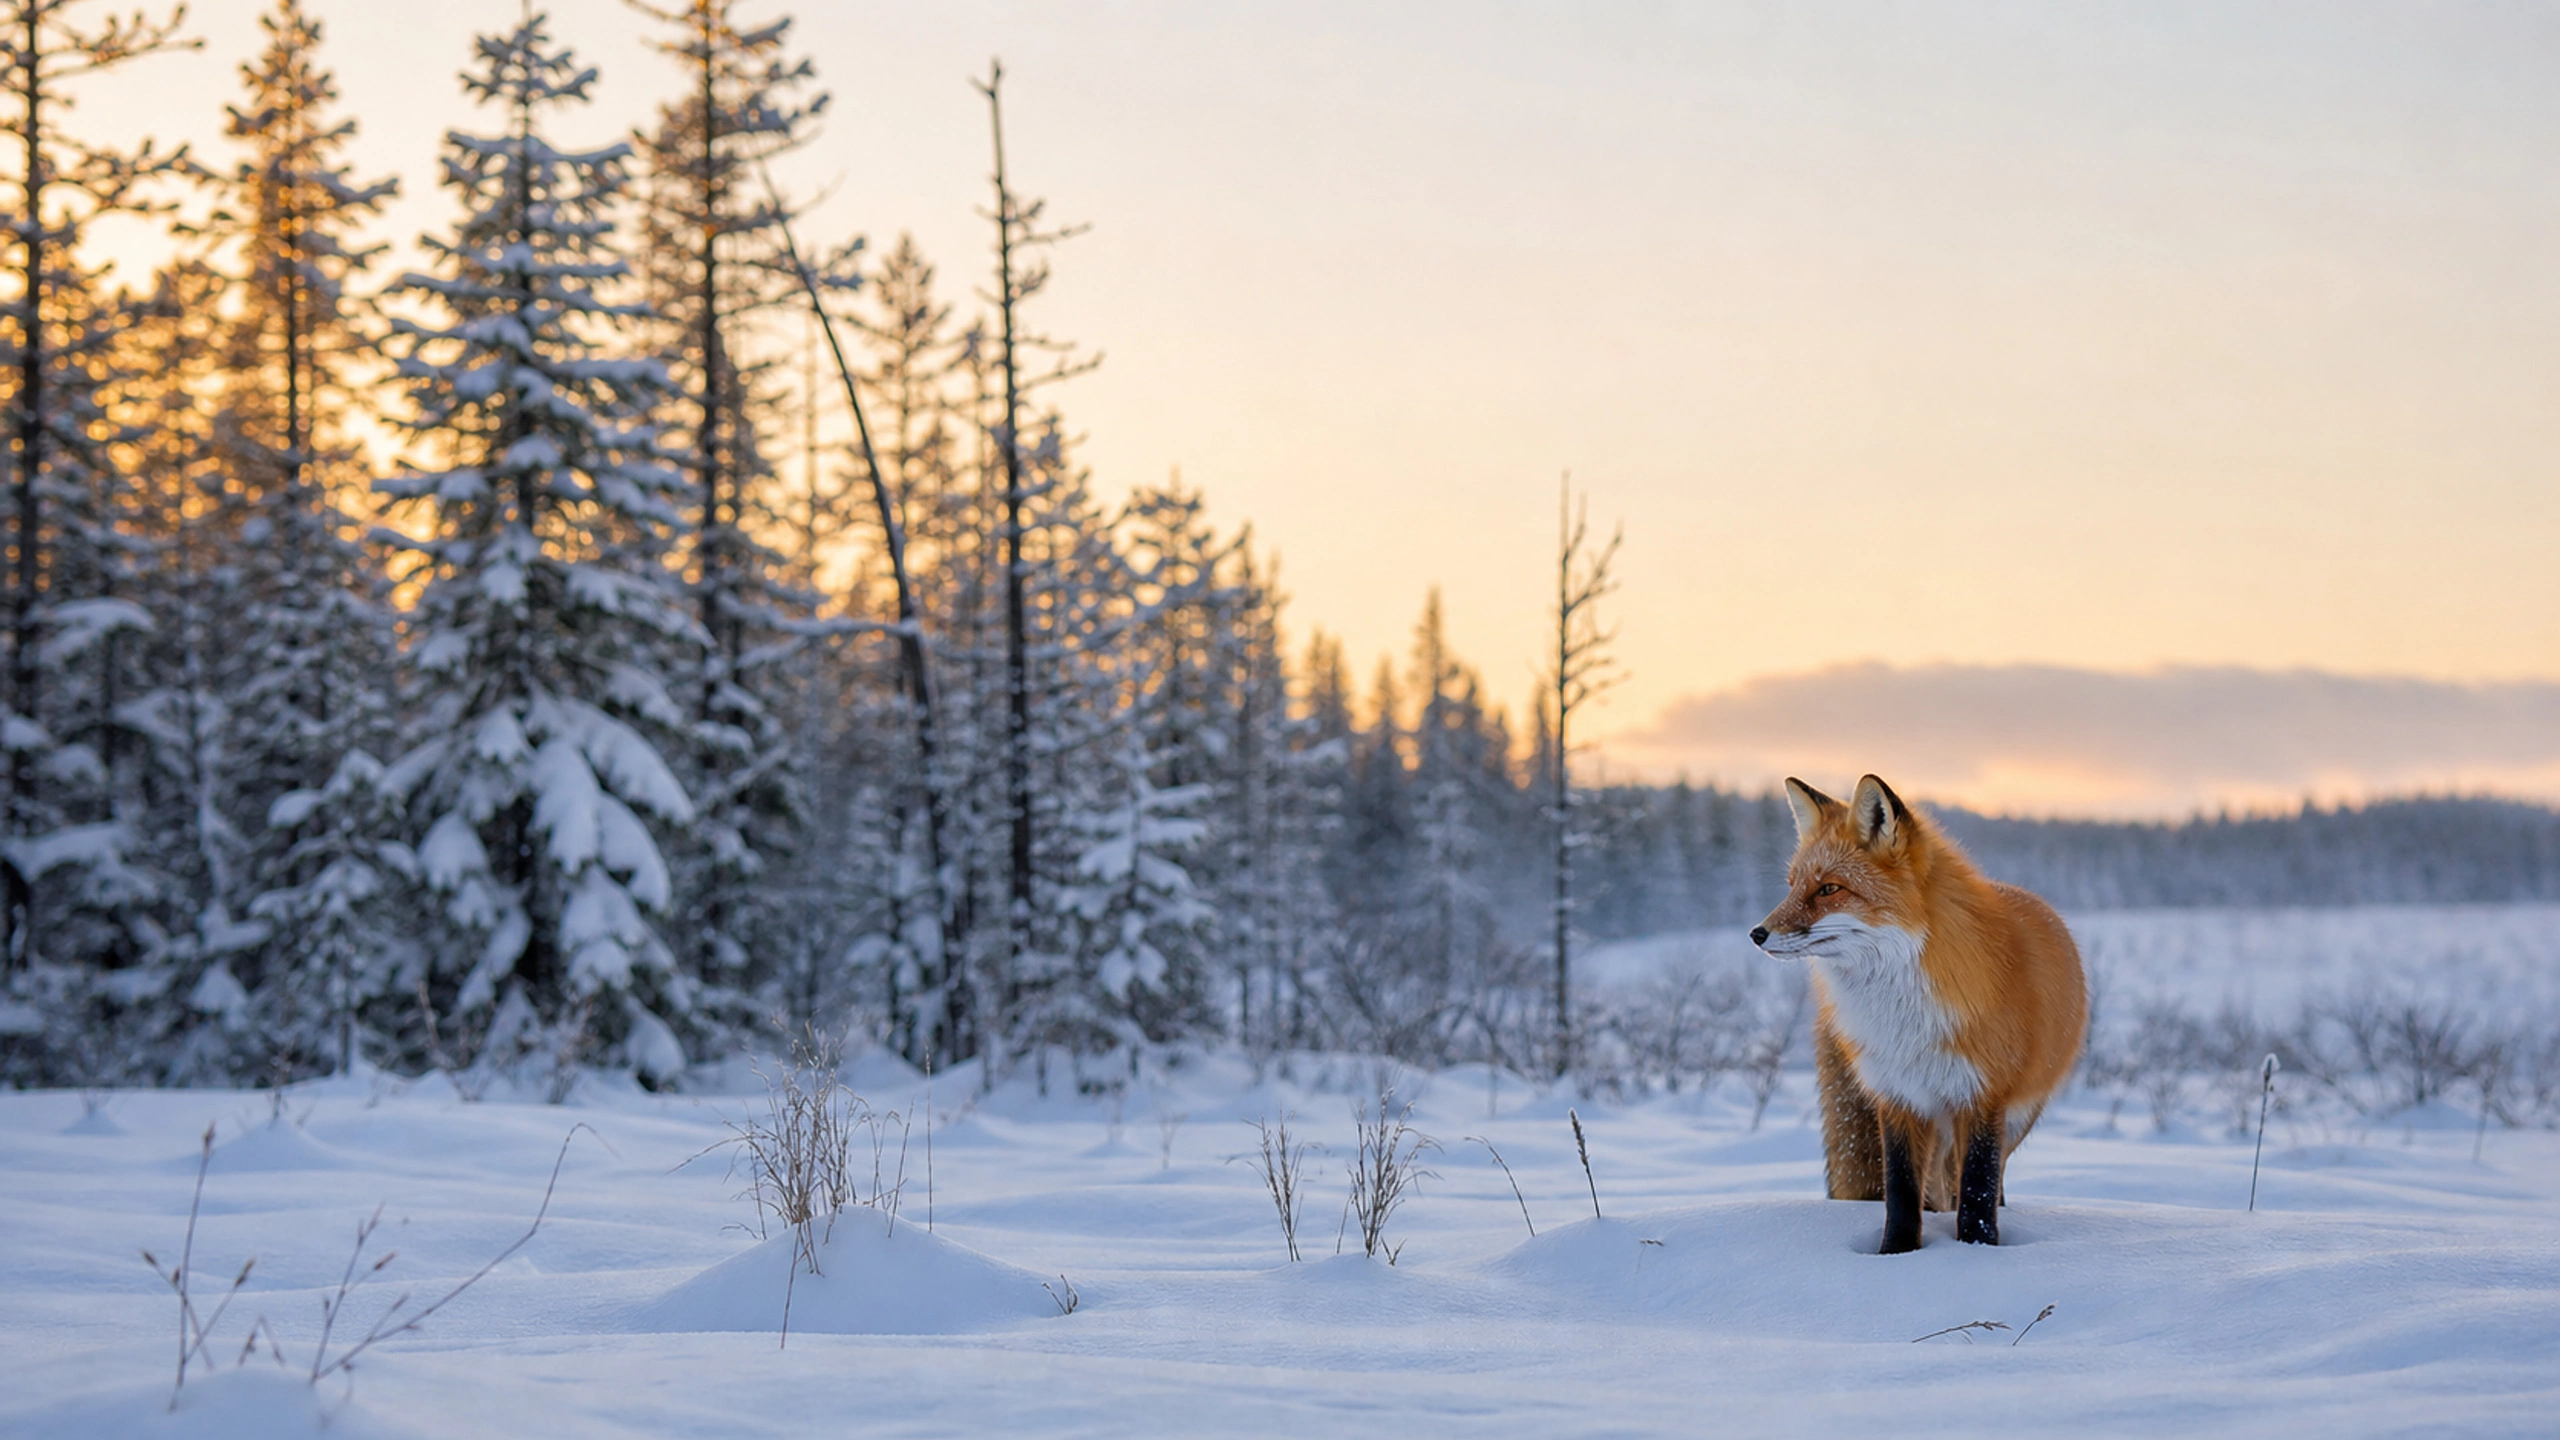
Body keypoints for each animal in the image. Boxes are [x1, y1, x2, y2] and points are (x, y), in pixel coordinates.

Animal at [1750, 774, 2086, 1254]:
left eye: (1829, 888)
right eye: (1792, 885)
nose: (1757, 933)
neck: (1904, 1016)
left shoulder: (1982, 1096)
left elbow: (1977, 1193)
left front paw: (1979, 1252)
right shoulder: (1896, 1095)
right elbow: (1902, 1191)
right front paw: (1897, 1255)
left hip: (2017, 1116)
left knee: (1982, 1181)